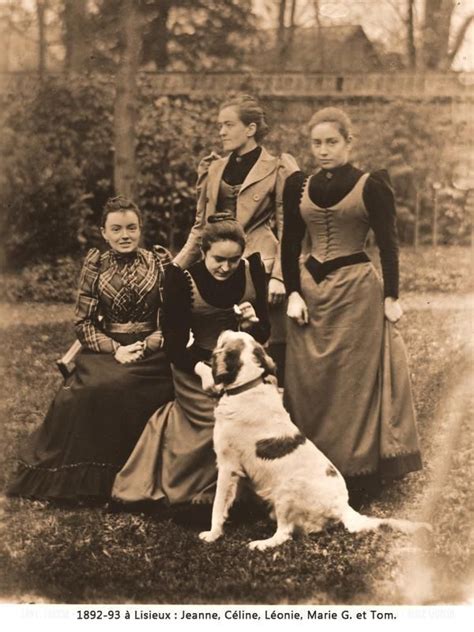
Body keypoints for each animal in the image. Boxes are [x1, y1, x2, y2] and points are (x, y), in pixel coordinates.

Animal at [198, 328, 432, 552]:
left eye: (226, 339)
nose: (222, 330)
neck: (247, 387)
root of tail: (343, 507)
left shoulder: (228, 467)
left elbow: (217, 505)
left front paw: (212, 534)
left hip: (286, 491)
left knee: (284, 533)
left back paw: (262, 543)